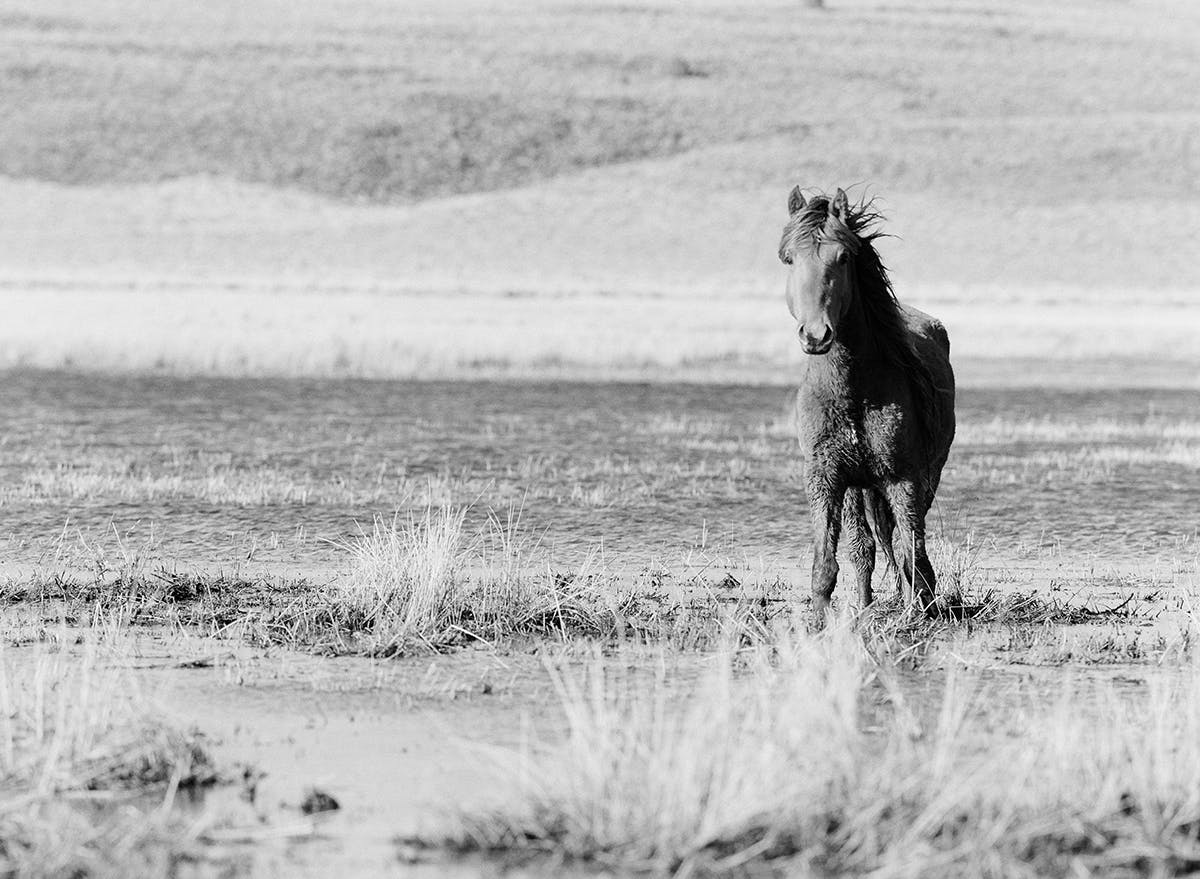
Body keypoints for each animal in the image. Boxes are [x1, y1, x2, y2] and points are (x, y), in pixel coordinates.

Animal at [777, 187, 955, 619]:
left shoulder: (903, 478)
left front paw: (919, 614)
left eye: (843, 257)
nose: (816, 334)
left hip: (923, 476)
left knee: (901, 544)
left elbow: (913, 553)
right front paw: (823, 618)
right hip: (859, 486)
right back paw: (865, 604)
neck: (853, 392)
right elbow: (829, 563)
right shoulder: (824, 478)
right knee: (865, 546)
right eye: (789, 258)